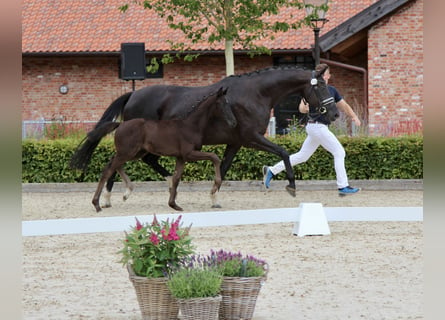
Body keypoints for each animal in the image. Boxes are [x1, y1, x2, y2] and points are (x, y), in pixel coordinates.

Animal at [91, 87, 227, 212]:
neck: (190, 126)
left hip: (134, 153)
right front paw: (215, 187)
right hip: (127, 152)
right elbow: (214, 157)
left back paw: (126, 192)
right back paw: (97, 204)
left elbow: (176, 178)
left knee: (114, 164)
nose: (231, 120)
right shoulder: (189, 154)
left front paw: (174, 205)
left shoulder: (181, 157)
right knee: (108, 170)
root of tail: (120, 124)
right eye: (222, 103)